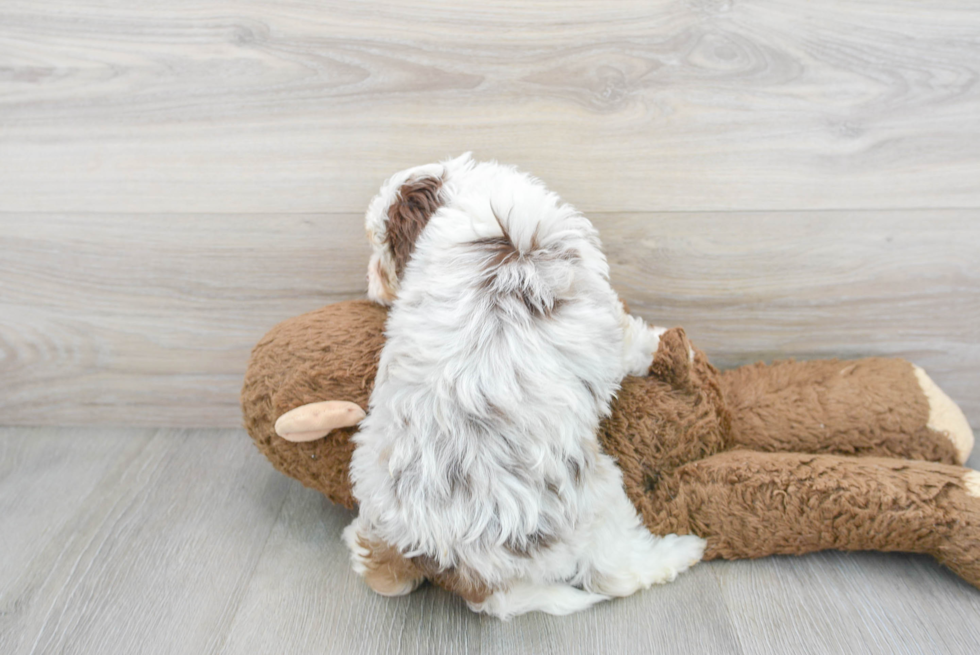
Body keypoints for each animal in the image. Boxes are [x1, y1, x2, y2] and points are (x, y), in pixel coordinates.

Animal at [344, 155, 704, 620]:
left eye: (379, 247)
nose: (371, 285)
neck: (465, 194)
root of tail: (452, 562)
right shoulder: (604, 311)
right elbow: (633, 338)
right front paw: (669, 345)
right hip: (596, 502)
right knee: (615, 573)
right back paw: (683, 551)